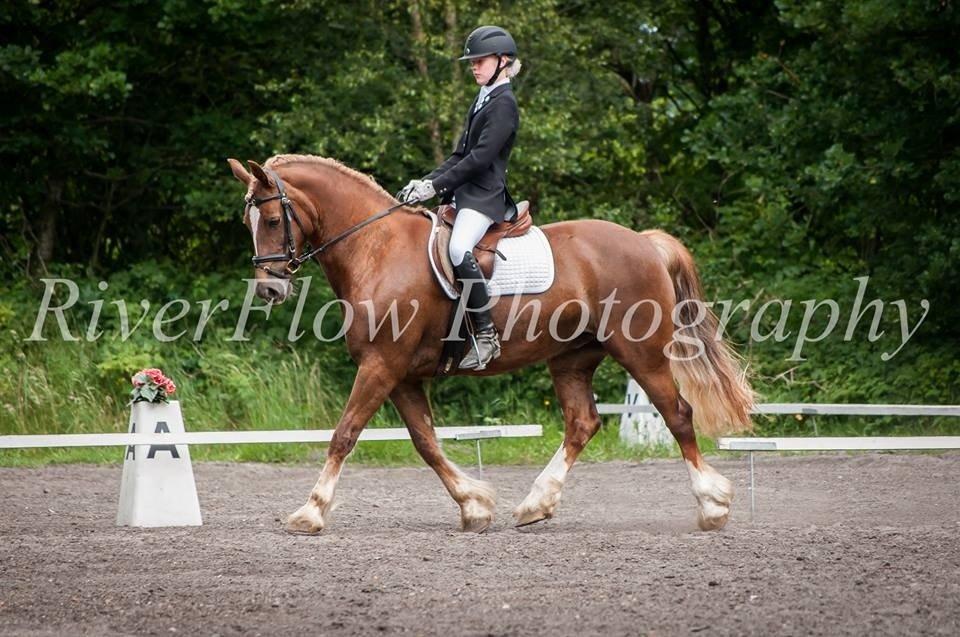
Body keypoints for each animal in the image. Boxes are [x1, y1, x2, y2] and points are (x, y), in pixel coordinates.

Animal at [229, 153, 752, 532]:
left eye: (271, 220)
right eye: (246, 223)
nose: (270, 290)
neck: (376, 248)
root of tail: (645, 242)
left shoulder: (381, 364)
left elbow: (345, 434)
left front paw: (310, 512)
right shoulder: (401, 375)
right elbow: (426, 443)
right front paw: (474, 505)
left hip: (640, 353)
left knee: (677, 414)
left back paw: (712, 506)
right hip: (572, 358)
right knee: (582, 423)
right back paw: (535, 504)